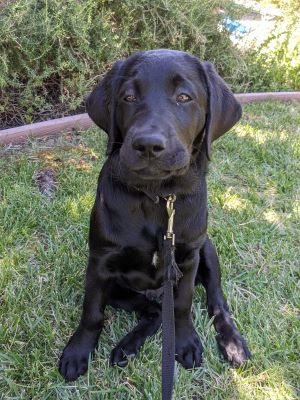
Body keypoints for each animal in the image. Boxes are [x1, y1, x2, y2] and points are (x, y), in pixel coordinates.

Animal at [58, 49, 251, 382]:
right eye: (129, 97)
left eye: (184, 97)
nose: (148, 144)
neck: (157, 196)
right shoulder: (100, 262)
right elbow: (92, 312)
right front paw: (78, 351)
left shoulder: (187, 258)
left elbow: (184, 305)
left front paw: (185, 342)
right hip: (122, 290)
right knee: (154, 313)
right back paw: (127, 347)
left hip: (207, 249)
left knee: (215, 301)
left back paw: (233, 343)